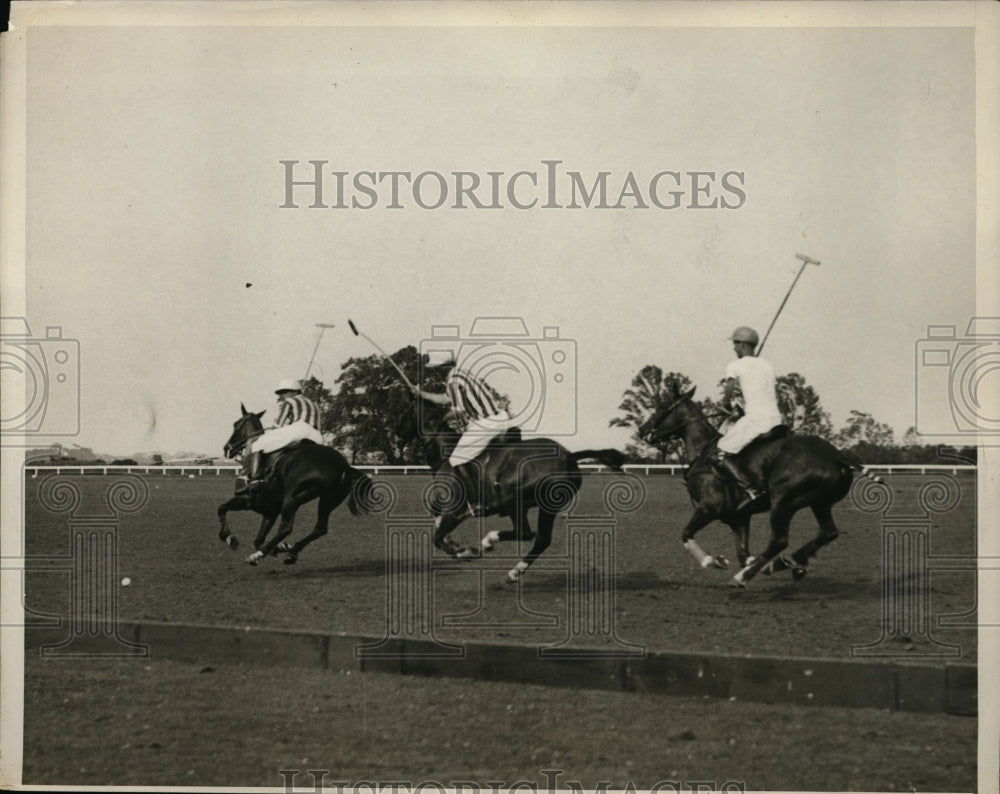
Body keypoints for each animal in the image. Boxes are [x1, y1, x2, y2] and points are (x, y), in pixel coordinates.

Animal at [218, 406, 376, 568]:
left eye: (236, 425)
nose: (226, 448)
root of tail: (342, 465)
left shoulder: (247, 501)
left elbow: (221, 509)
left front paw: (229, 538)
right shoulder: (270, 511)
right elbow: (258, 539)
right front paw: (278, 548)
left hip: (292, 498)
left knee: (286, 528)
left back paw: (257, 556)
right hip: (328, 500)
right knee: (320, 528)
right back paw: (290, 551)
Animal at [392, 396, 620, 580]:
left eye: (403, 413)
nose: (396, 435)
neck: (444, 455)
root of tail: (570, 457)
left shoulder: (453, 509)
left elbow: (438, 538)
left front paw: (464, 551)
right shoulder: (449, 510)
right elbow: (438, 526)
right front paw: (456, 544)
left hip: (513, 499)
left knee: (525, 532)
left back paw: (489, 541)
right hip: (548, 506)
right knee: (541, 539)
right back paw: (514, 572)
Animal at [636, 386, 880, 584]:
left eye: (662, 406)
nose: (642, 430)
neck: (703, 452)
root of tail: (836, 455)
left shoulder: (708, 508)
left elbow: (686, 534)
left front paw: (712, 561)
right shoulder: (738, 518)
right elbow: (743, 554)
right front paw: (764, 565)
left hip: (784, 501)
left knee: (779, 541)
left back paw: (744, 577)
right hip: (820, 502)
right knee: (828, 533)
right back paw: (793, 561)